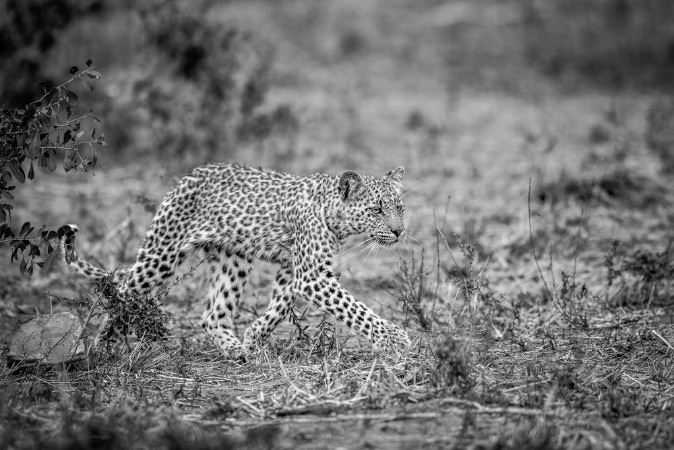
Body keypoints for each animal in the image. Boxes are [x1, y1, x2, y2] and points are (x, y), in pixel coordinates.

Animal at [64, 163, 412, 356]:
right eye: (376, 210)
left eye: (399, 208)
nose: (399, 232)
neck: (334, 216)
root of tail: (188, 176)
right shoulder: (312, 275)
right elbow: (356, 310)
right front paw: (394, 339)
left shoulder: (293, 269)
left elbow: (281, 305)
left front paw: (253, 337)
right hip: (162, 255)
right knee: (122, 290)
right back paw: (101, 347)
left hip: (234, 260)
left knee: (213, 313)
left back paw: (234, 349)